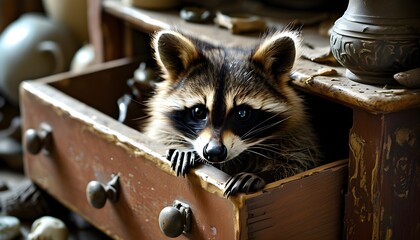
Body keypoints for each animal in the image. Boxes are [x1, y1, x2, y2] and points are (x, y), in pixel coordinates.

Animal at [144, 29, 322, 196]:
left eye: (242, 113)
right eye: (198, 111)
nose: (214, 153)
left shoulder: (298, 137)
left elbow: (298, 162)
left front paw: (262, 175)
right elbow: (160, 134)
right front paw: (184, 149)